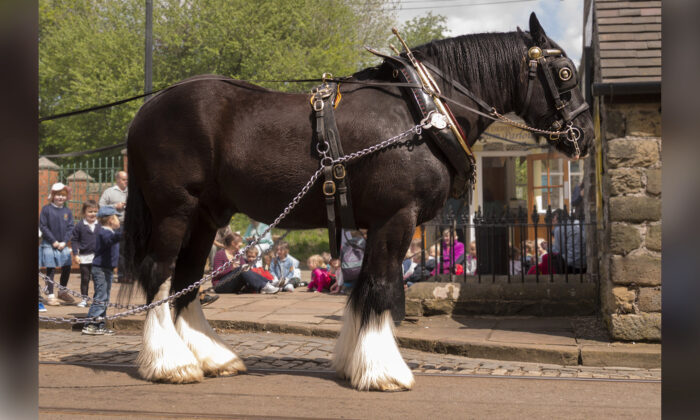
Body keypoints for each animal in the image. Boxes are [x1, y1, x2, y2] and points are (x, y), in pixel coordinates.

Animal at [122, 13, 593, 390]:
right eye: (565, 73)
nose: (585, 135)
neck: (421, 112)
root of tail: (148, 108)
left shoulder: (378, 223)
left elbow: (367, 287)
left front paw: (358, 362)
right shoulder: (396, 217)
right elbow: (382, 288)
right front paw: (384, 370)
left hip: (206, 215)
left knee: (185, 280)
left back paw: (211, 357)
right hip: (175, 209)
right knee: (159, 273)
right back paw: (170, 363)